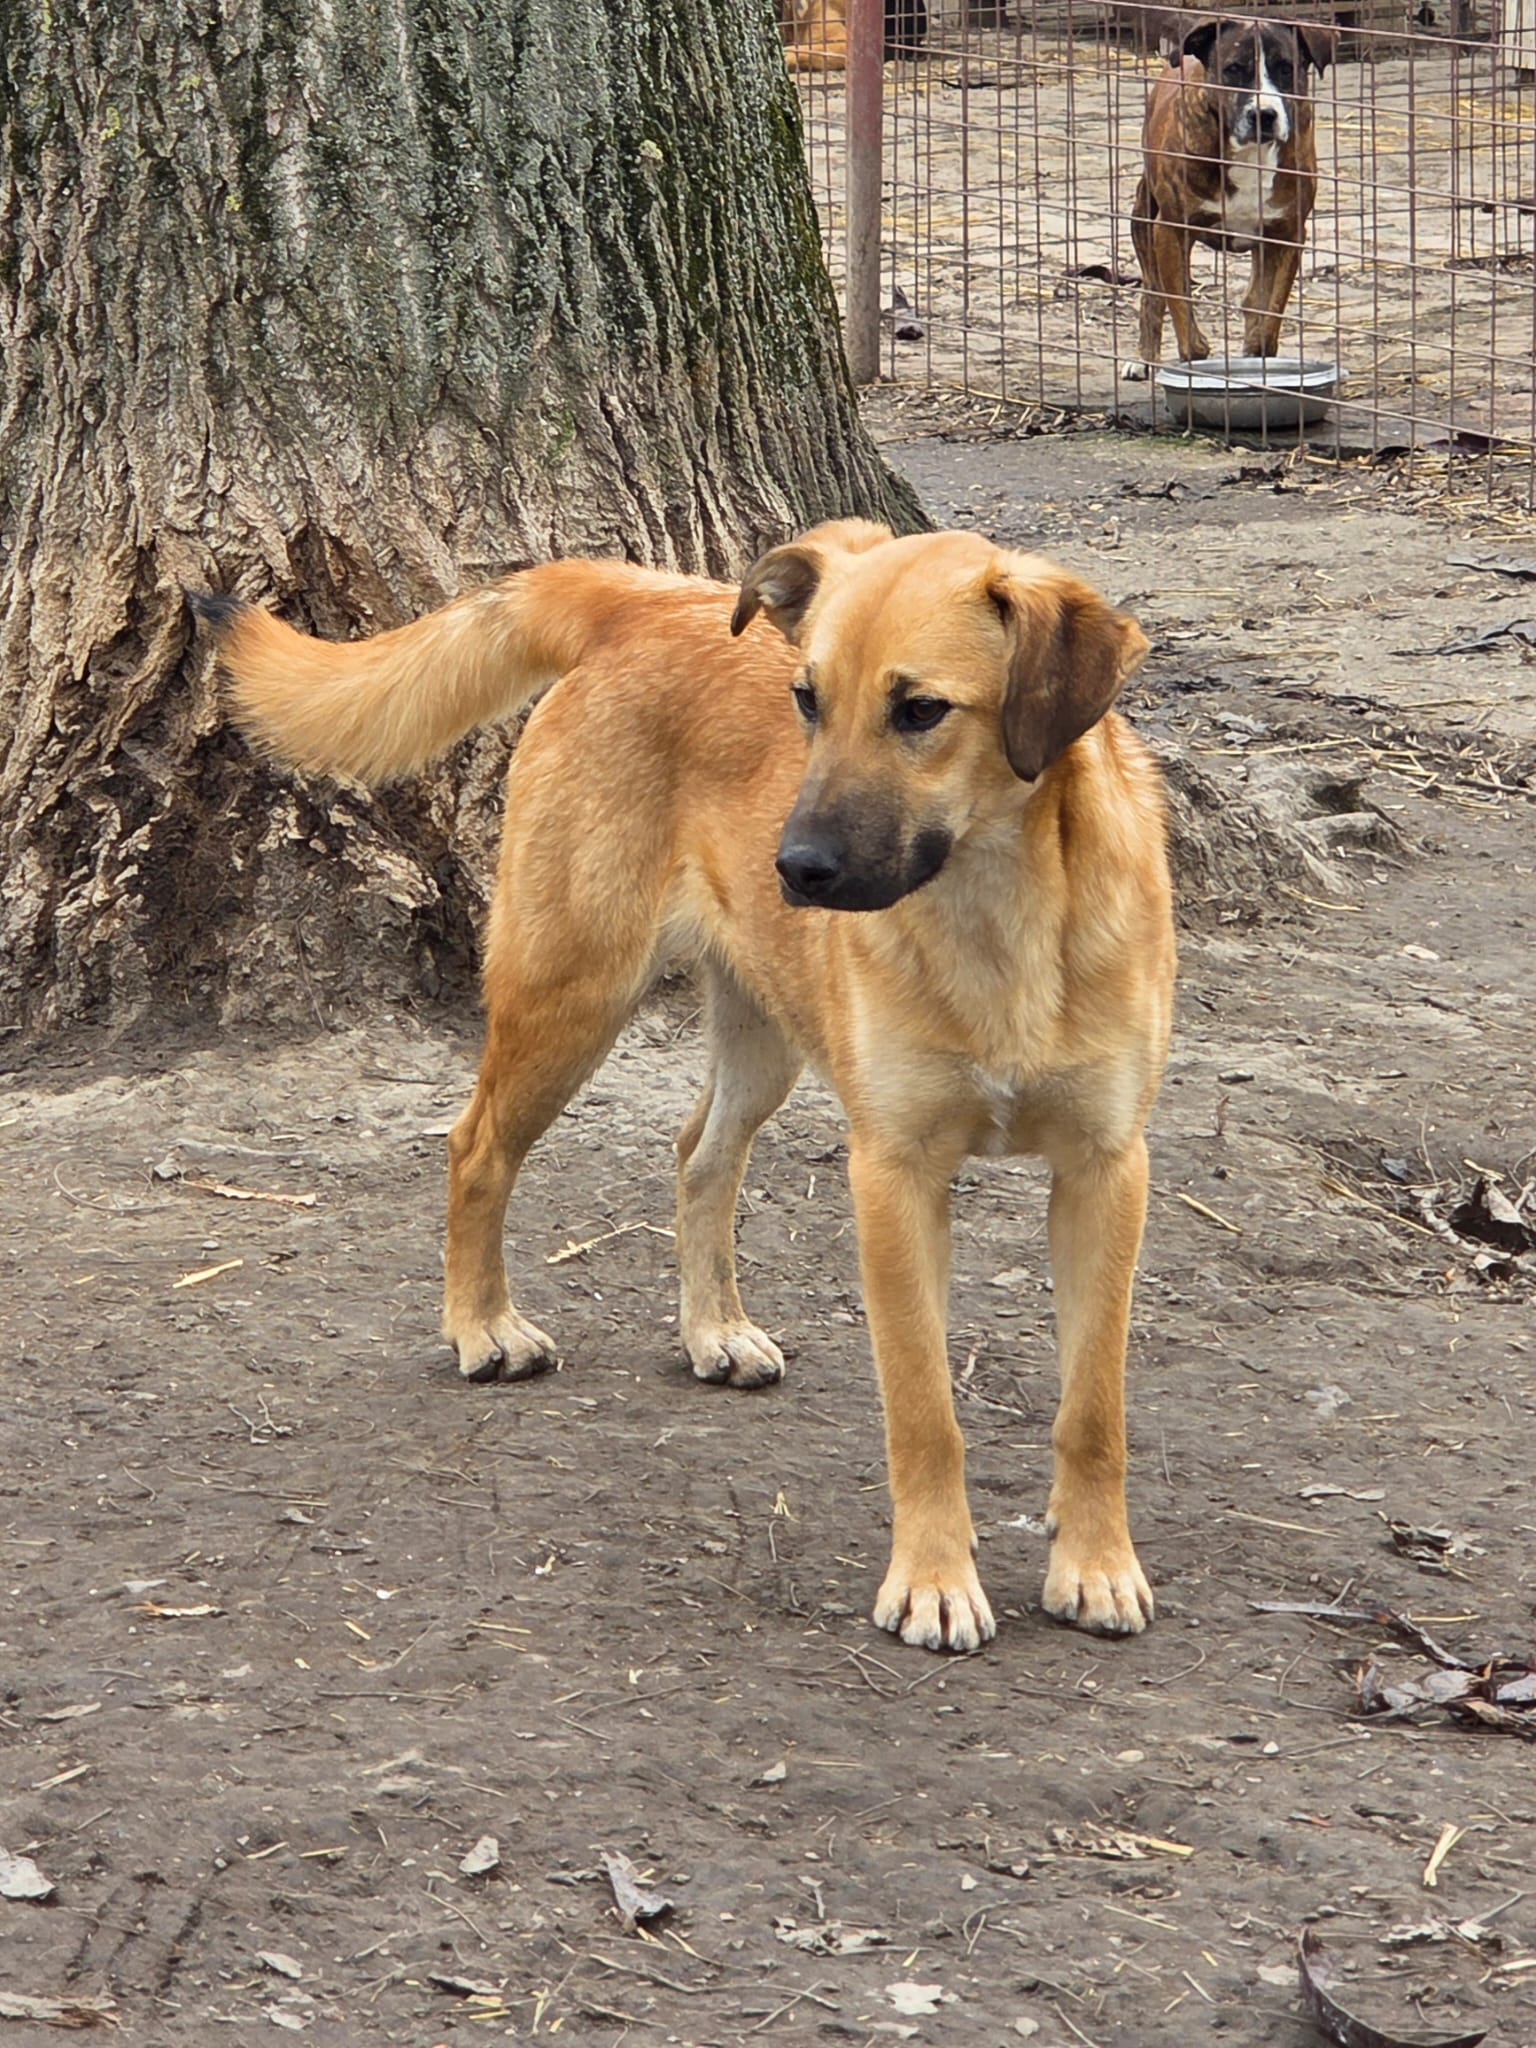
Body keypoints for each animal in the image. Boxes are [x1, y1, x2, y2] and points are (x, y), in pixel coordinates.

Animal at [194, 523, 1174, 1653]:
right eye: (806, 699)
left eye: (921, 710)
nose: (797, 867)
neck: (997, 911)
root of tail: (642, 603)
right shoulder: (894, 1178)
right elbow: (925, 1410)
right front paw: (934, 1577)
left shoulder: (1107, 1173)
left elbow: (1092, 1406)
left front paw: (1095, 1562)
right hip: (572, 990)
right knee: (476, 1145)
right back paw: (483, 1325)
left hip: (761, 1032)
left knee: (699, 1153)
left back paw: (712, 1330)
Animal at [1128, 17, 1335, 374]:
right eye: (1234, 69)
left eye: (1286, 68)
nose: (1263, 114)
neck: (1250, 154)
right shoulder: (1170, 231)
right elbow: (1182, 313)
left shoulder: (1286, 235)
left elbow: (1267, 319)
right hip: (1143, 219)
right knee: (1153, 291)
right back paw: (1144, 359)